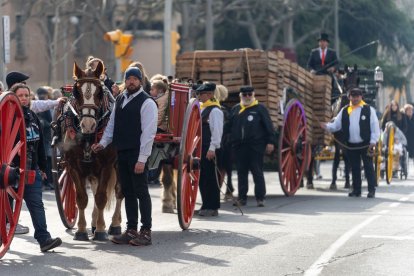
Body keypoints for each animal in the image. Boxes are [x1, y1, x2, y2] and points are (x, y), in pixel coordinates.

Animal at [58, 61, 123, 240]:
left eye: (99, 92)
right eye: (76, 92)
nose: (88, 124)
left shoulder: (107, 165)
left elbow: (101, 197)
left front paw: (100, 230)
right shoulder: (73, 166)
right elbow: (82, 198)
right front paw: (81, 230)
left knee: (119, 192)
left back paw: (115, 224)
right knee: (94, 190)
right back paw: (93, 223)